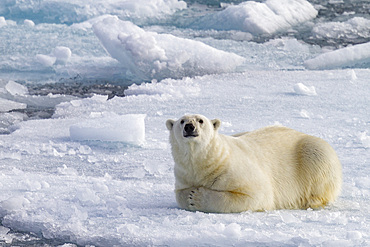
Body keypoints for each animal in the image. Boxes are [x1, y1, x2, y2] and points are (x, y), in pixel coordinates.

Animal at [166, 114, 342, 212]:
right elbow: (180, 194)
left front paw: (195, 196)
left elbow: (256, 194)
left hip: (313, 153)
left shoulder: (233, 169)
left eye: (200, 120)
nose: (189, 127)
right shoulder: (184, 175)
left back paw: (310, 201)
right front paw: (190, 195)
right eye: (181, 121)